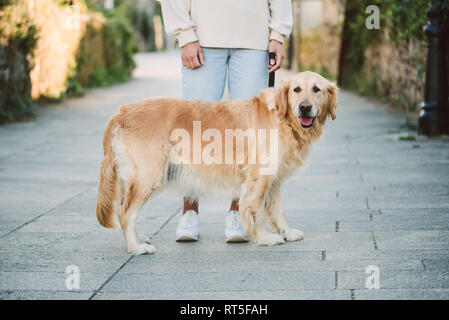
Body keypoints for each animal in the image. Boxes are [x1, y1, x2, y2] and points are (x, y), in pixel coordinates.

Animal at [97, 71, 336, 254]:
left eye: (317, 89)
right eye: (296, 89)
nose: (304, 107)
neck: (283, 119)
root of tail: (121, 112)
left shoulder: (274, 180)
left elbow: (278, 210)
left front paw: (287, 232)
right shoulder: (259, 179)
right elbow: (255, 211)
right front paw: (264, 238)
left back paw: (139, 239)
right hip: (148, 177)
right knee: (125, 213)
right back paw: (136, 248)